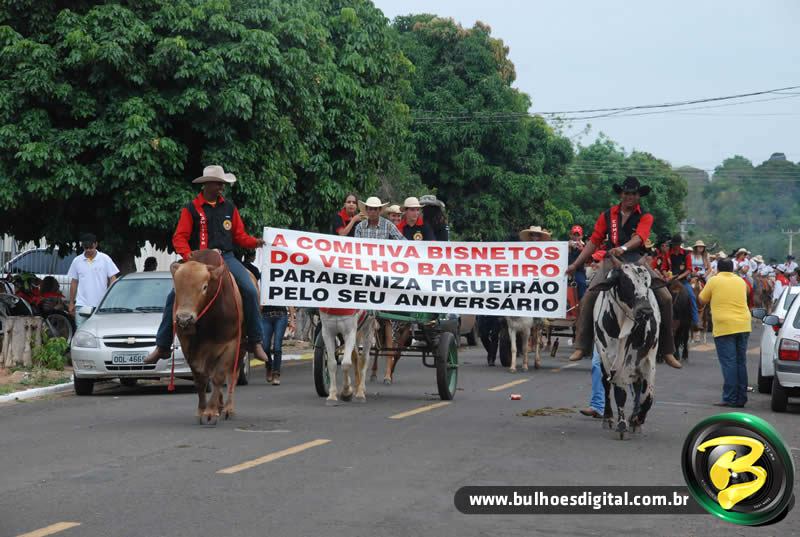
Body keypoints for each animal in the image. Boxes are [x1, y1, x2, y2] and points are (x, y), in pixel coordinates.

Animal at [171, 250, 252, 425]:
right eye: (176, 287)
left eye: (204, 287)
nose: (184, 319)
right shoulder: (188, 346)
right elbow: (200, 378)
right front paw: (202, 410)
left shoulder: (231, 344)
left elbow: (219, 376)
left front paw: (210, 412)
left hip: (242, 347)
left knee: (232, 376)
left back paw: (227, 408)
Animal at [593, 257, 660, 439]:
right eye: (625, 282)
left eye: (647, 284)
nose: (646, 311)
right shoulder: (612, 361)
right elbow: (619, 392)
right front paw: (622, 424)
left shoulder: (648, 360)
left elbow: (648, 396)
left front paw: (637, 419)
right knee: (605, 383)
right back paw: (608, 418)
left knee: (638, 387)